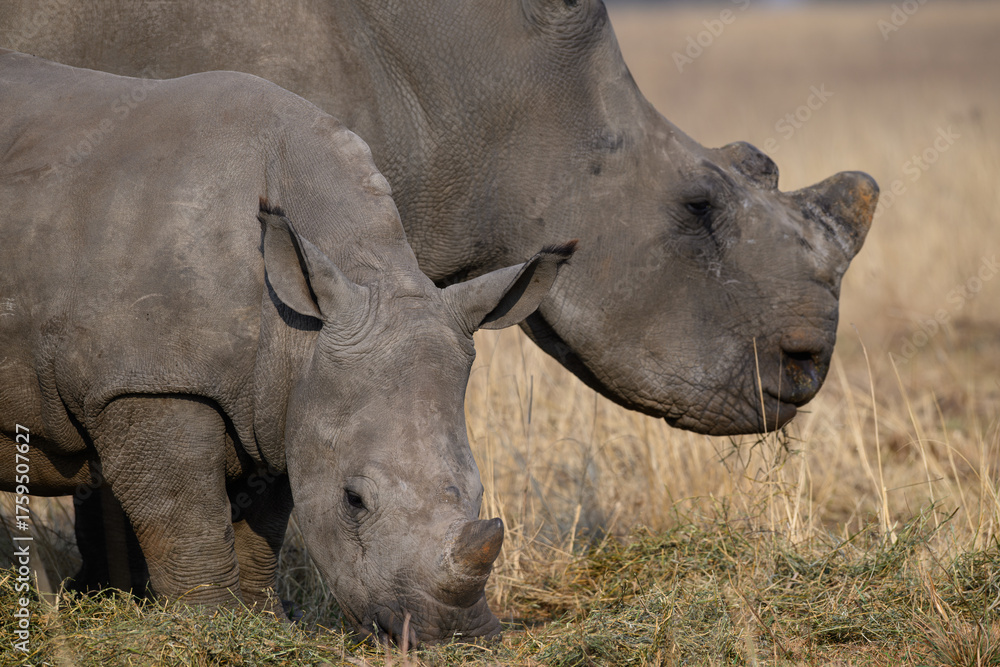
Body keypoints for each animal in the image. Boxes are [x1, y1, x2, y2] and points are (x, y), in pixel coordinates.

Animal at [0, 49, 576, 643]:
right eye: (353, 500)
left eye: (479, 492)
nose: (454, 634)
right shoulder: (146, 383)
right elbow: (185, 514)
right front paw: (211, 622)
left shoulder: (280, 396)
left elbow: (268, 518)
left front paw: (263, 620)